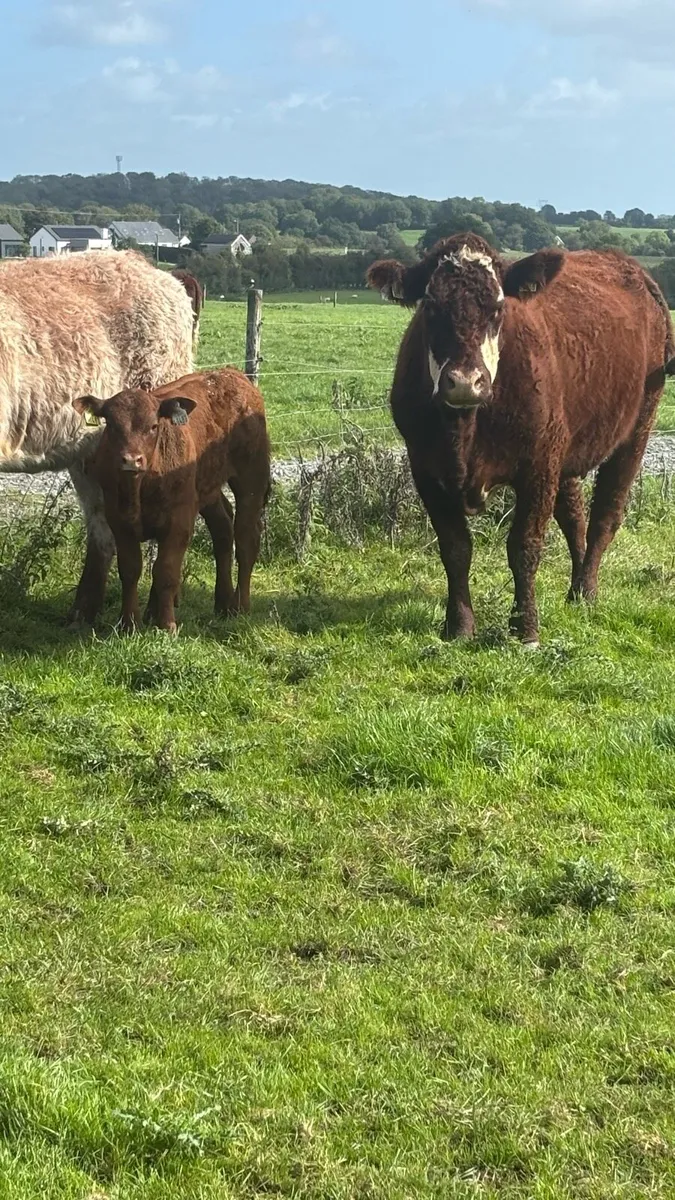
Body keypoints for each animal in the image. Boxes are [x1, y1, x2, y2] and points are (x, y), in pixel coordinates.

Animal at [71, 368, 271, 634]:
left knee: (247, 537)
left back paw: (240, 606)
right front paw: (128, 623)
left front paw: (166, 625)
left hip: (251, 478)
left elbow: (165, 571)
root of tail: (231, 373)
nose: (131, 460)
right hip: (206, 488)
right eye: (112, 425)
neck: (139, 487)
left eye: (153, 426)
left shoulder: (179, 520)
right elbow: (130, 569)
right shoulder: (119, 520)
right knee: (223, 528)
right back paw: (223, 603)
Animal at [367, 234, 675, 647]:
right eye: (430, 306)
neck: (464, 428)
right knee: (574, 516)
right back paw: (575, 588)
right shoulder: (425, 467)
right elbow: (455, 547)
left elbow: (524, 545)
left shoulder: (538, 465)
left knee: (604, 516)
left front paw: (525, 628)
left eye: (498, 308)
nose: (464, 382)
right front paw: (459, 626)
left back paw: (587, 591)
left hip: (636, 430)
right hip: (566, 447)